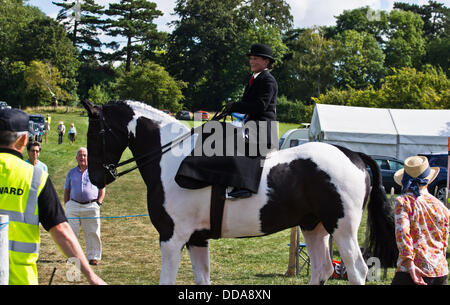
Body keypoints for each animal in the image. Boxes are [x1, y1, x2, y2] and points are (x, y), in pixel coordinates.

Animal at [81, 99, 398, 282]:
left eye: (95, 132)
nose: (95, 177)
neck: (169, 157)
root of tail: (353, 154)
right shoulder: (196, 239)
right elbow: (202, 280)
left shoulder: (172, 238)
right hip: (314, 227)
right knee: (323, 269)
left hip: (342, 229)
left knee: (357, 270)